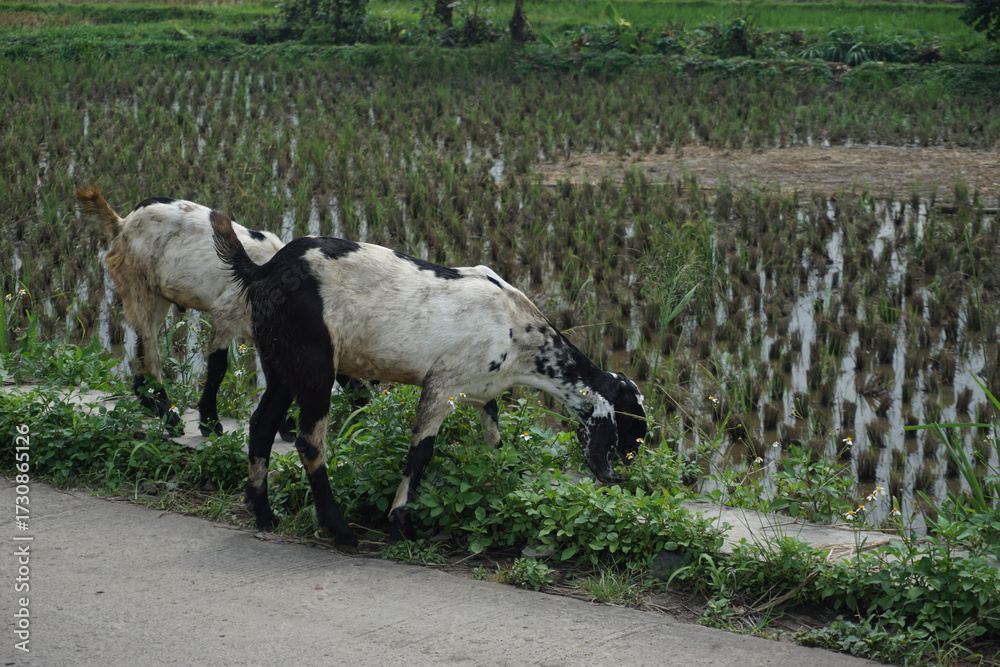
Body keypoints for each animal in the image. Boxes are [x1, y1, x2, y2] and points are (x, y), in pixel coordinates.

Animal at [75, 185, 291, 437]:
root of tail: (121, 223)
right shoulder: (226, 315)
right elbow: (218, 368)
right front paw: (210, 422)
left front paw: (286, 426)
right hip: (137, 285)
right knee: (151, 351)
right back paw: (169, 416)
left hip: (156, 296)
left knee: (142, 343)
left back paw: (148, 401)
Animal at [210, 209, 647, 546]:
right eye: (630, 426)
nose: (618, 476)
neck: (518, 329)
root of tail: (263, 270)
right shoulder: (441, 385)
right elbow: (420, 452)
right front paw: (401, 525)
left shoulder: (483, 392)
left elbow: (495, 444)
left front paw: (503, 491)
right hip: (314, 364)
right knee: (310, 442)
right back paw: (341, 531)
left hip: (280, 364)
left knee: (261, 425)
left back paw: (265, 515)